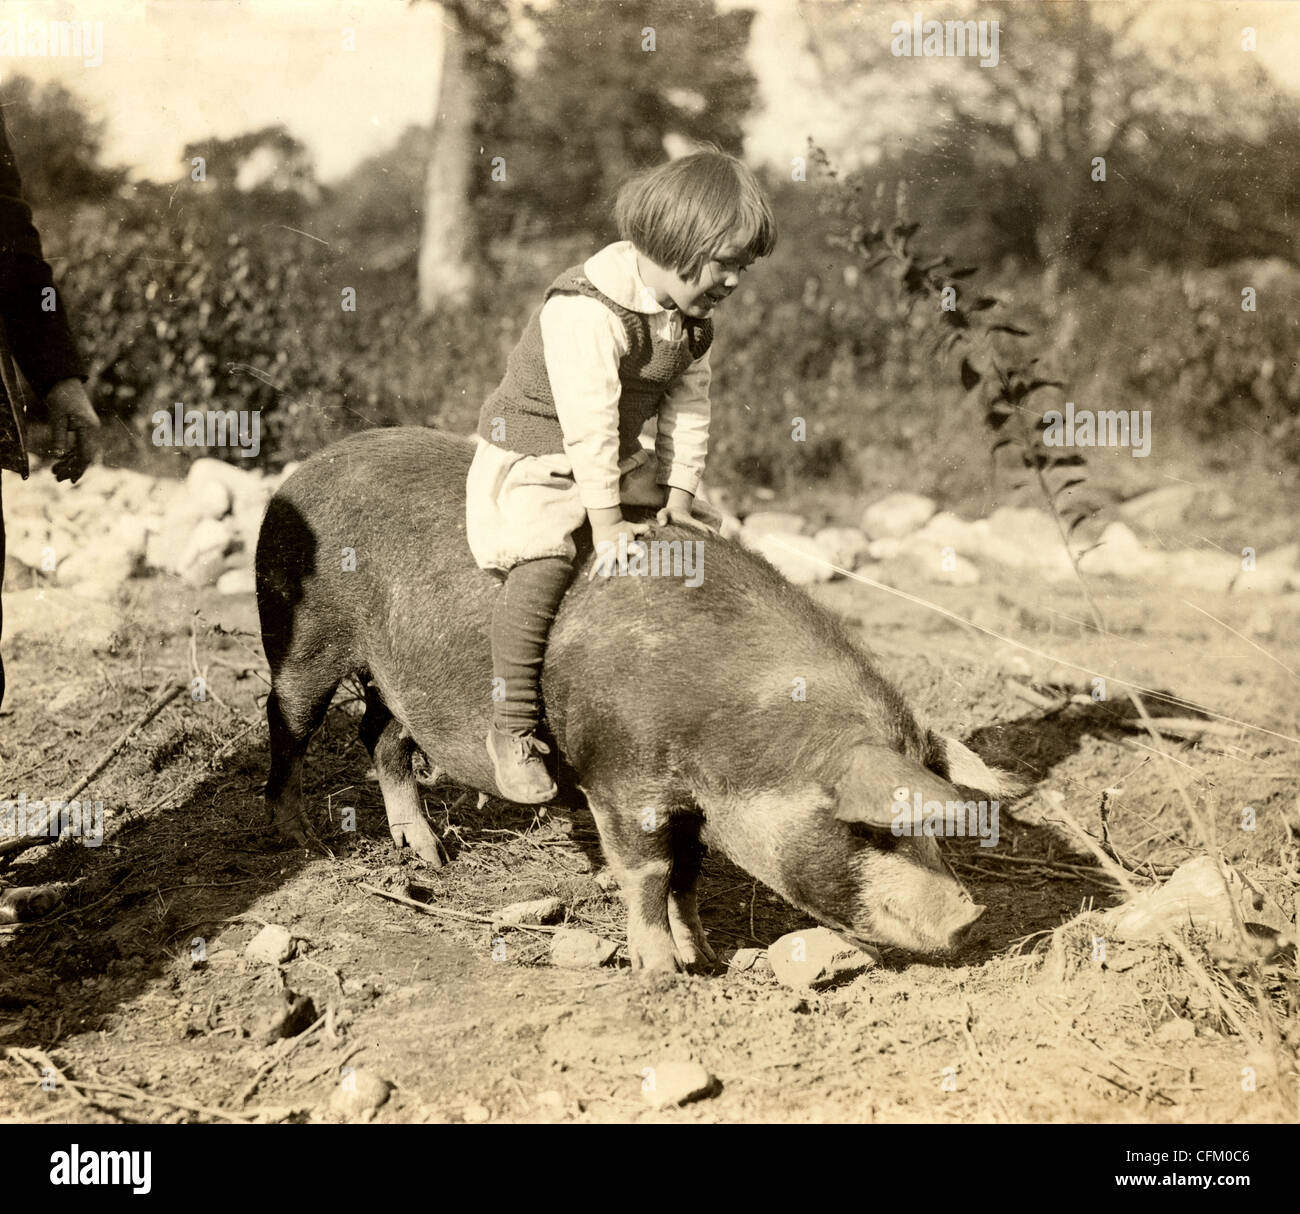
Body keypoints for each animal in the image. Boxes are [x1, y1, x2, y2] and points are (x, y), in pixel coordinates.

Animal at [256, 423, 1013, 972]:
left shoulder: (696, 806)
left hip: (397, 675)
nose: (971, 914)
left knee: (380, 736)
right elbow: (647, 875)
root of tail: (304, 470)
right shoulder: (620, 781)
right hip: (301, 635)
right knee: (287, 721)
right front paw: (661, 974)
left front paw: (707, 960)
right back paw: (300, 838)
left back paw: (431, 856)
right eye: (870, 830)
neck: (734, 736)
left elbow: (689, 879)